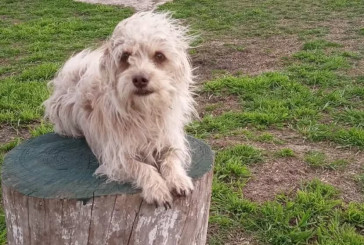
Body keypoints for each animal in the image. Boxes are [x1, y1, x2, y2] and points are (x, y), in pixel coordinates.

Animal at [43, 11, 196, 209]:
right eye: (125, 56)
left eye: (159, 56)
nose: (140, 79)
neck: (145, 111)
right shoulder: (117, 157)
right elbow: (143, 167)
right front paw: (157, 189)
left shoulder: (171, 141)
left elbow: (171, 159)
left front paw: (178, 179)